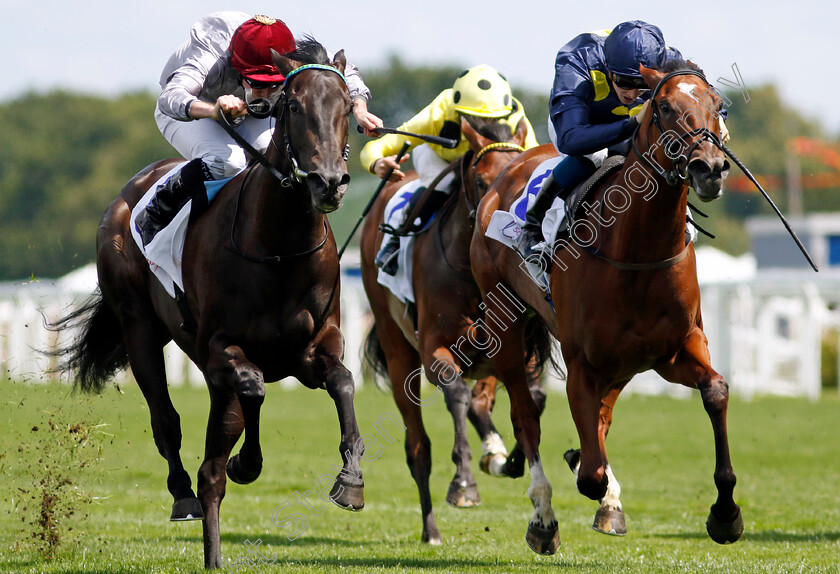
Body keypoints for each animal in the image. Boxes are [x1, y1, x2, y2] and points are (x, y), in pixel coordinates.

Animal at [50, 41, 360, 572]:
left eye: (345, 106)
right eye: (295, 106)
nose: (329, 183)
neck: (278, 247)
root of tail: (129, 192)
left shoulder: (313, 350)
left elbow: (341, 381)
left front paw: (351, 480)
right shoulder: (219, 348)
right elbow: (251, 389)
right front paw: (246, 463)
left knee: (215, 455)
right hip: (140, 328)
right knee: (169, 423)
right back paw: (184, 496)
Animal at [360, 116, 552, 544]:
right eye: (481, 180)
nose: (498, 228)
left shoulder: (513, 348)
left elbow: (532, 399)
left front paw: (508, 459)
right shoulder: (434, 349)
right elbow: (457, 395)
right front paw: (463, 483)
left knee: (483, 404)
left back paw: (495, 452)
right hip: (397, 352)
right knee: (418, 447)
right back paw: (430, 528)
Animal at [472, 60, 740, 556]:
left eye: (718, 106)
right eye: (665, 107)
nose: (709, 168)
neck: (637, 250)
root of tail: (506, 173)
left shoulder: (674, 350)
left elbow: (715, 391)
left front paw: (726, 513)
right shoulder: (583, 363)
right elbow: (590, 471)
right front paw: (584, 475)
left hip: (624, 361)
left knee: (602, 415)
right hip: (507, 325)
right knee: (525, 415)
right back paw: (543, 517)